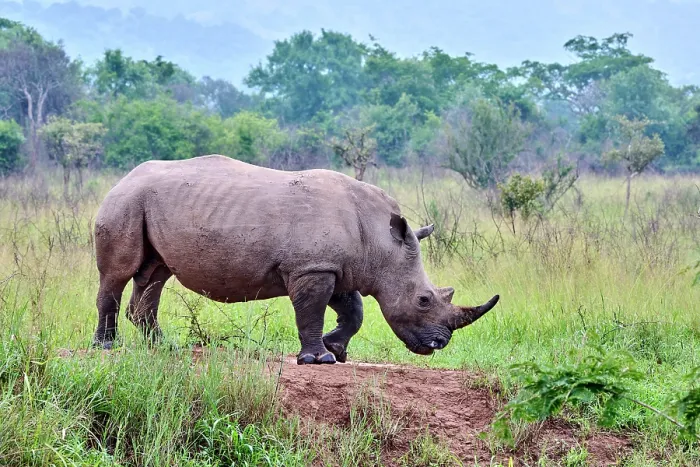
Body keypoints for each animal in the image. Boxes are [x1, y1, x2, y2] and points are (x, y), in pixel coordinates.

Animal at [92, 155, 499, 364]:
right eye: (423, 300)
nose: (439, 344)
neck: (381, 241)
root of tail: (122, 178)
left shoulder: (336, 266)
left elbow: (353, 311)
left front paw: (337, 350)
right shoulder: (311, 267)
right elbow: (311, 312)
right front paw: (319, 360)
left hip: (146, 203)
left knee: (155, 273)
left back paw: (164, 347)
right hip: (125, 202)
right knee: (119, 272)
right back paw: (107, 348)